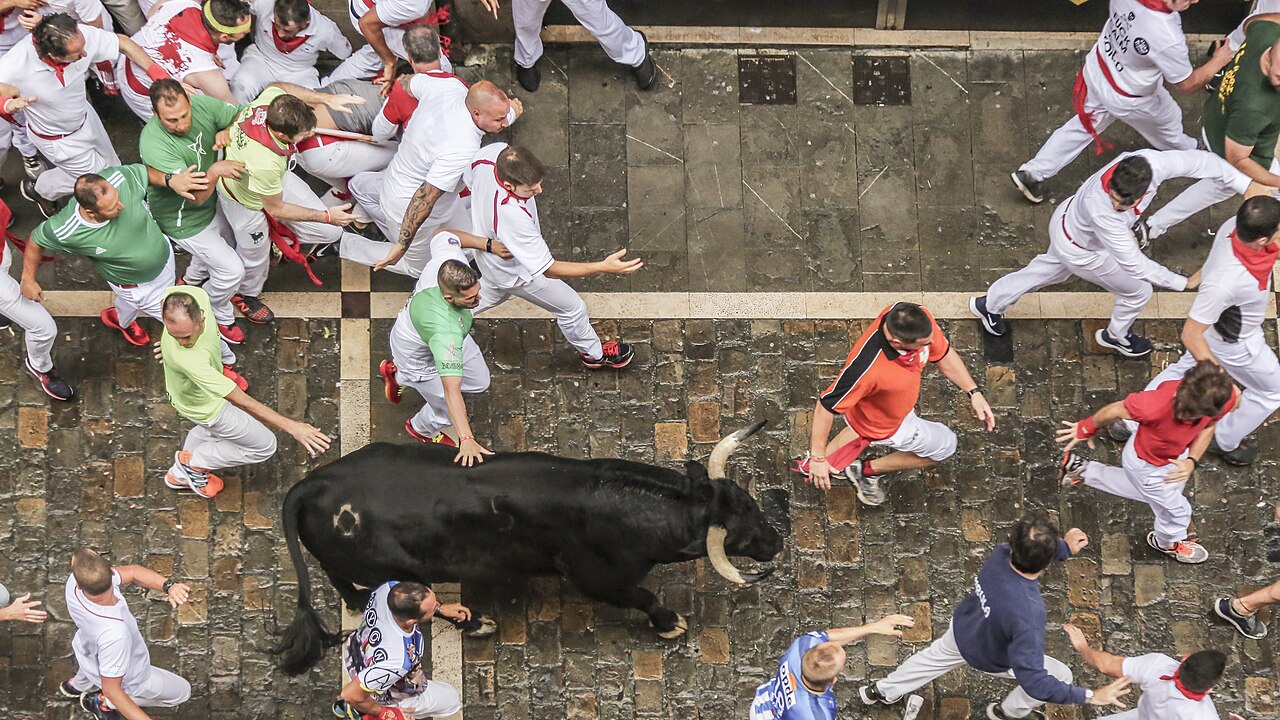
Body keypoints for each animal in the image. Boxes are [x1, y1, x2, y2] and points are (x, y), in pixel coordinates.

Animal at [275, 420, 783, 671]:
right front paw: (669, 622)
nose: (777, 542)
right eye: (736, 536)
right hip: (393, 567)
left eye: (752, 503)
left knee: (346, 583)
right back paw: (476, 622)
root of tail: (312, 485)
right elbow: (644, 595)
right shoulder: (598, 580)